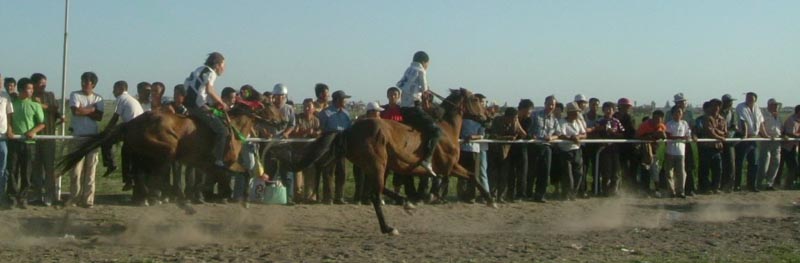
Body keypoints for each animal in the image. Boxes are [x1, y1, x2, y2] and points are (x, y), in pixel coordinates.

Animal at [60, 103, 284, 208]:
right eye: (271, 106)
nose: (282, 122)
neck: (232, 127)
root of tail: (132, 123)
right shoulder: (223, 164)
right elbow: (232, 176)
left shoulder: (207, 165)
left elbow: (238, 175)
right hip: (165, 150)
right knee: (153, 176)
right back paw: (160, 196)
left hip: (144, 154)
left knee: (141, 175)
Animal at [296, 88, 490, 235]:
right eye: (476, 100)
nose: (487, 119)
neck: (446, 130)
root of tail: (349, 130)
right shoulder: (449, 166)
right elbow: (461, 176)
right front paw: (489, 199)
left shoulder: (449, 168)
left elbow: (470, 176)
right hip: (377, 165)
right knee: (375, 195)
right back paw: (388, 227)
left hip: (375, 166)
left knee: (377, 190)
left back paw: (406, 202)